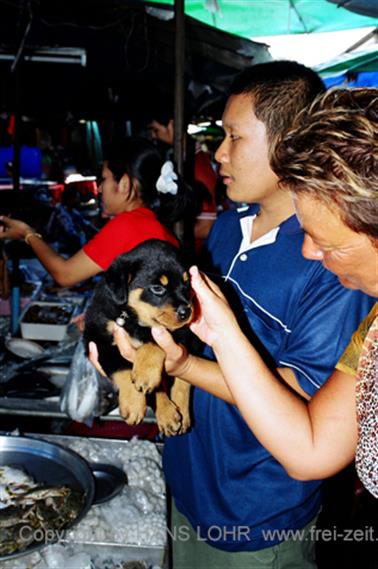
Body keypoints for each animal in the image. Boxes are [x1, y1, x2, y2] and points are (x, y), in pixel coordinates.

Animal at [82, 239, 192, 434]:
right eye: (157, 288)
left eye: (186, 284)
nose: (187, 312)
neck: (133, 319)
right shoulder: (98, 340)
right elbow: (123, 368)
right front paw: (135, 404)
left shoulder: (180, 334)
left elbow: (154, 344)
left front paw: (145, 374)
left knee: (182, 383)